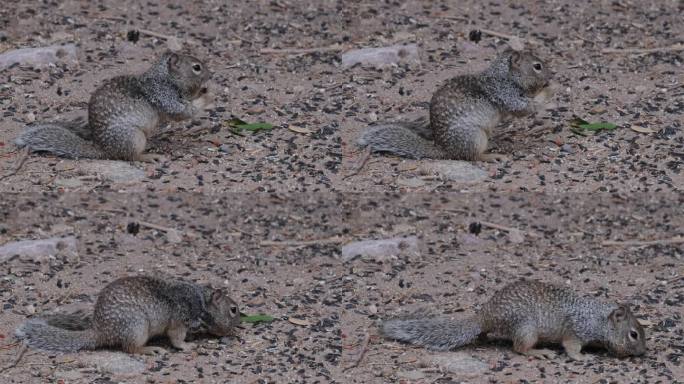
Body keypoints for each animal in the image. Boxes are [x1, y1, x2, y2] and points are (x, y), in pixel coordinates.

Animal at [13, 276, 240, 354]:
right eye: (233, 309)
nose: (236, 330)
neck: (200, 301)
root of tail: (100, 332)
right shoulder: (179, 321)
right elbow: (176, 338)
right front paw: (187, 345)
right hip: (136, 327)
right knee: (130, 348)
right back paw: (150, 350)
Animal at [14, 50, 212, 161]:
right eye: (196, 67)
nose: (211, 75)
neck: (164, 76)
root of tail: (104, 150)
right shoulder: (162, 94)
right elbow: (181, 111)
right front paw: (207, 95)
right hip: (132, 137)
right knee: (130, 156)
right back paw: (149, 156)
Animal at [358, 48, 552, 161]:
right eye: (537, 66)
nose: (550, 77)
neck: (504, 75)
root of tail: (446, 151)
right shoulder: (503, 92)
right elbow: (522, 107)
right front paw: (546, 94)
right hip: (474, 136)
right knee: (472, 156)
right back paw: (491, 156)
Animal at [384, 280, 648, 360]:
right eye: (634, 334)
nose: (644, 352)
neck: (598, 319)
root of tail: (485, 317)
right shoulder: (575, 332)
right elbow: (572, 348)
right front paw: (583, 357)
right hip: (526, 330)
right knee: (519, 348)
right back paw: (539, 352)